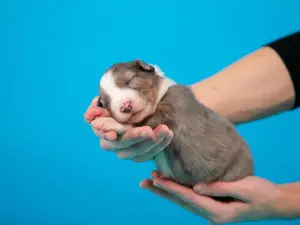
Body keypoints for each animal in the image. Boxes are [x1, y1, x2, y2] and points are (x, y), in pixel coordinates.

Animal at [95, 60, 253, 197]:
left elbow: (145, 121)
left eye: (130, 80)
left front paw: (111, 124)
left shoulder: (171, 108)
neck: (159, 96)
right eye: (106, 102)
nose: (125, 106)